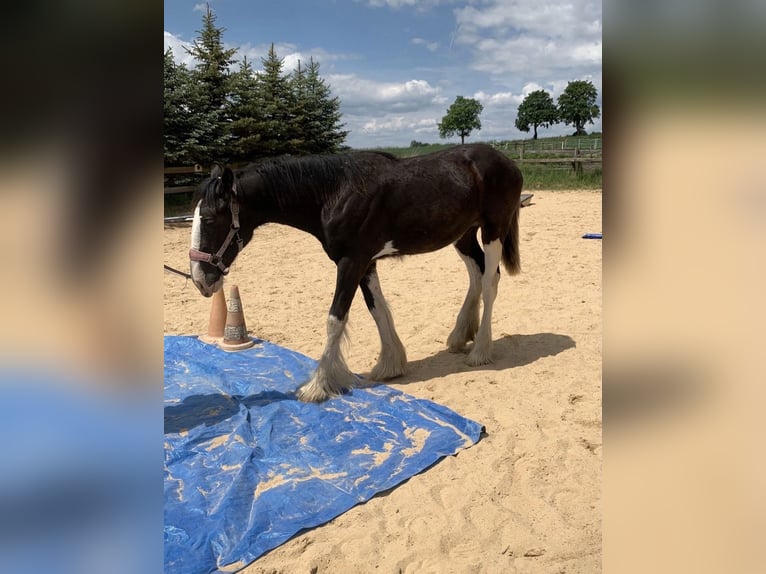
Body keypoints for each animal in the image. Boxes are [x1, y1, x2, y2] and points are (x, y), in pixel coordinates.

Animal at [189, 143, 523, 402]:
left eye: (208, 219)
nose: (200, 278)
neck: (334, 194)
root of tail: (507, 161)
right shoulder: (366, 264)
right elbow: (378, 311)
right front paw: (390, 365)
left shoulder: (351, 263)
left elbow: (335, 319)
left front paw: (317, 386)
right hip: (463, 235)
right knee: (476, 274)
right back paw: (459, 336)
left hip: (493, 230)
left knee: (490, 282)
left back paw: (479, 350)